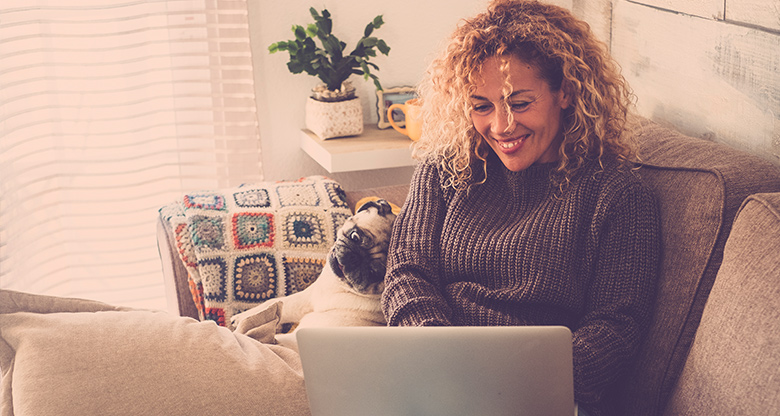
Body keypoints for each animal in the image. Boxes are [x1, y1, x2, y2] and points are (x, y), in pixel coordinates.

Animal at [229, 198, 394, 352]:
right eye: (355, 237)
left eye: (374, 273)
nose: (355, 259)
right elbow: (272, 302)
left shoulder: (307, 299)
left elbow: (277, 304)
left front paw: (240, 318)